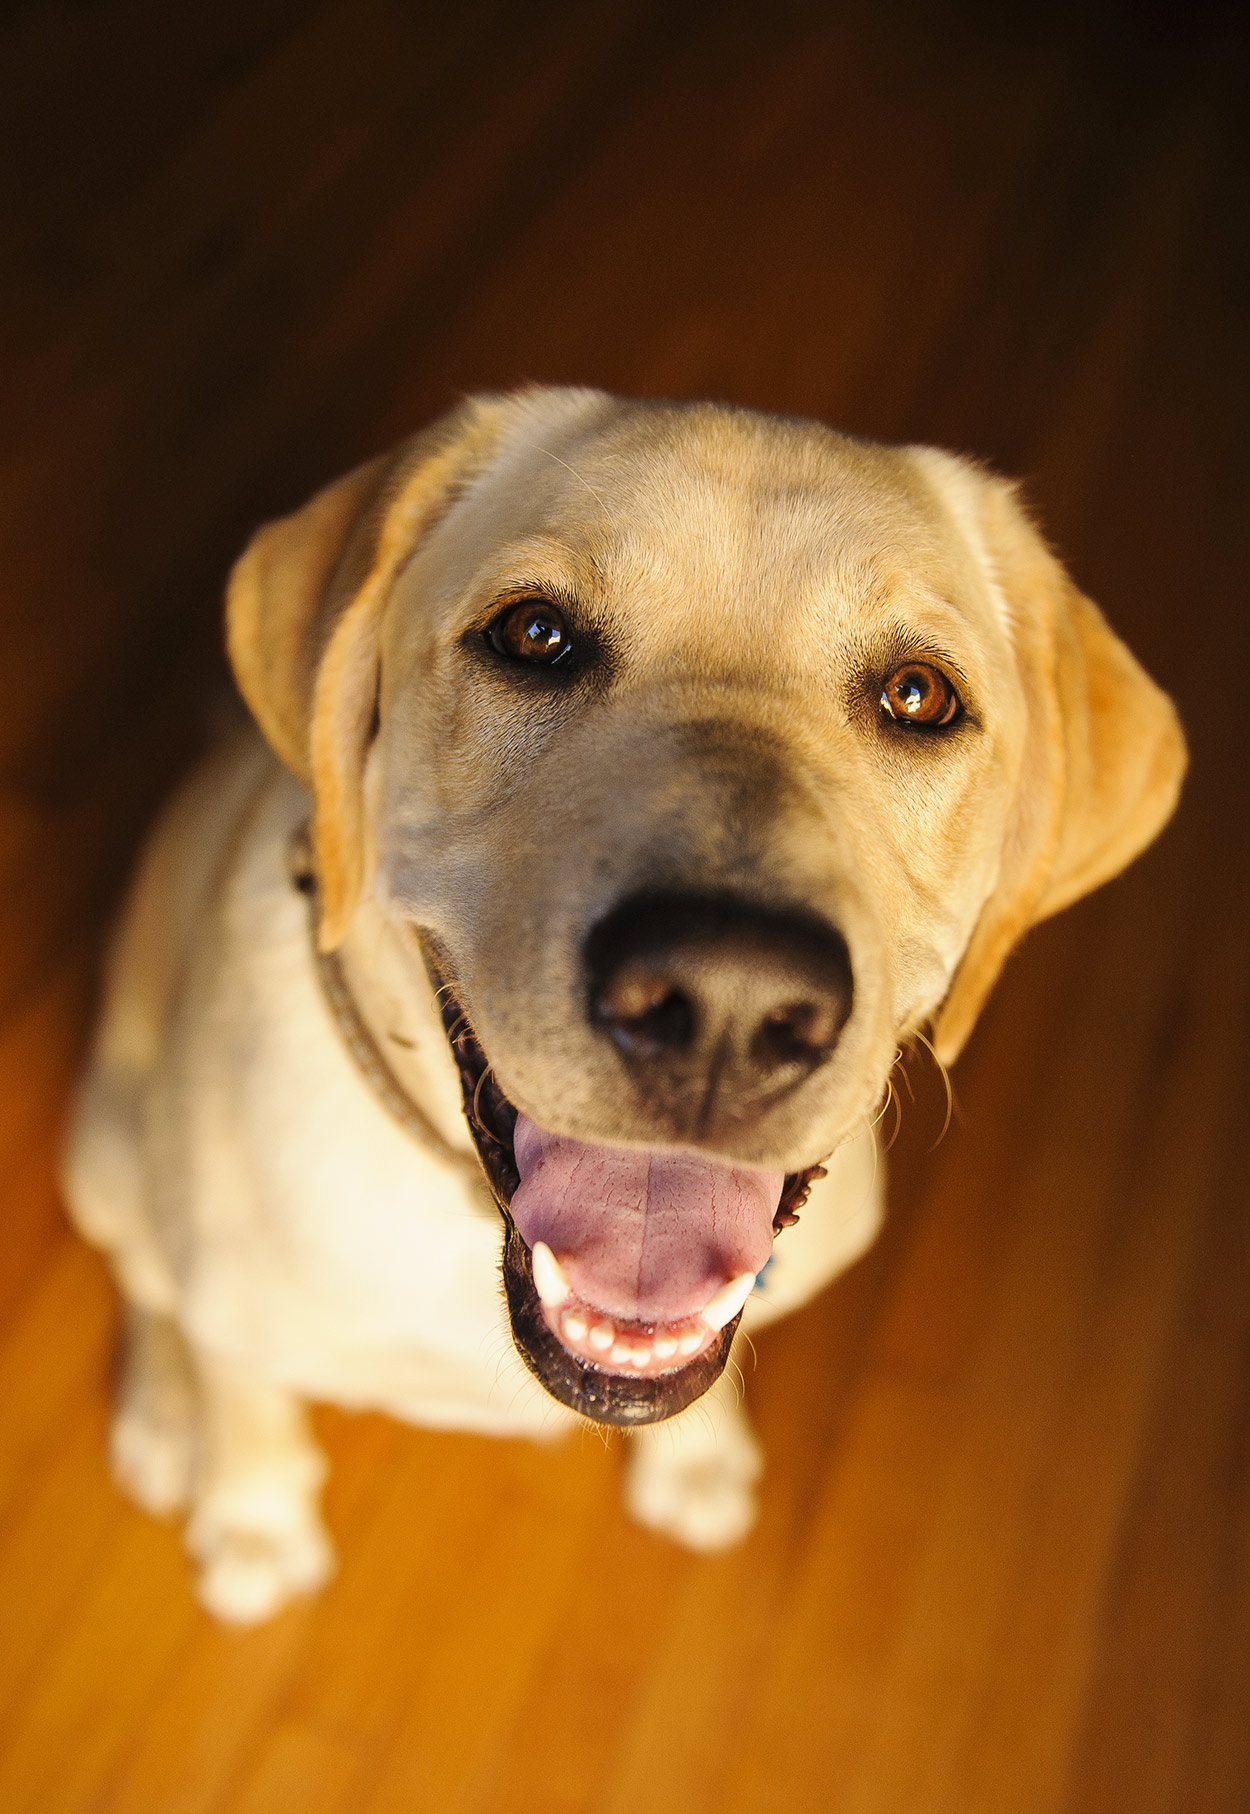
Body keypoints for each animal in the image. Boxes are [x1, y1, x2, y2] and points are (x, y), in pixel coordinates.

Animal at [63, 390, 1182, 1625]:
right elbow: (245, 1395)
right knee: (149, 1280)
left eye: (917, 696)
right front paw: (252, 1516)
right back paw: (165, 1417)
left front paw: (699, 1459)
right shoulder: (231, 1303)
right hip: (104, 1153)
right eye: (532, 635)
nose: (727, 1002)